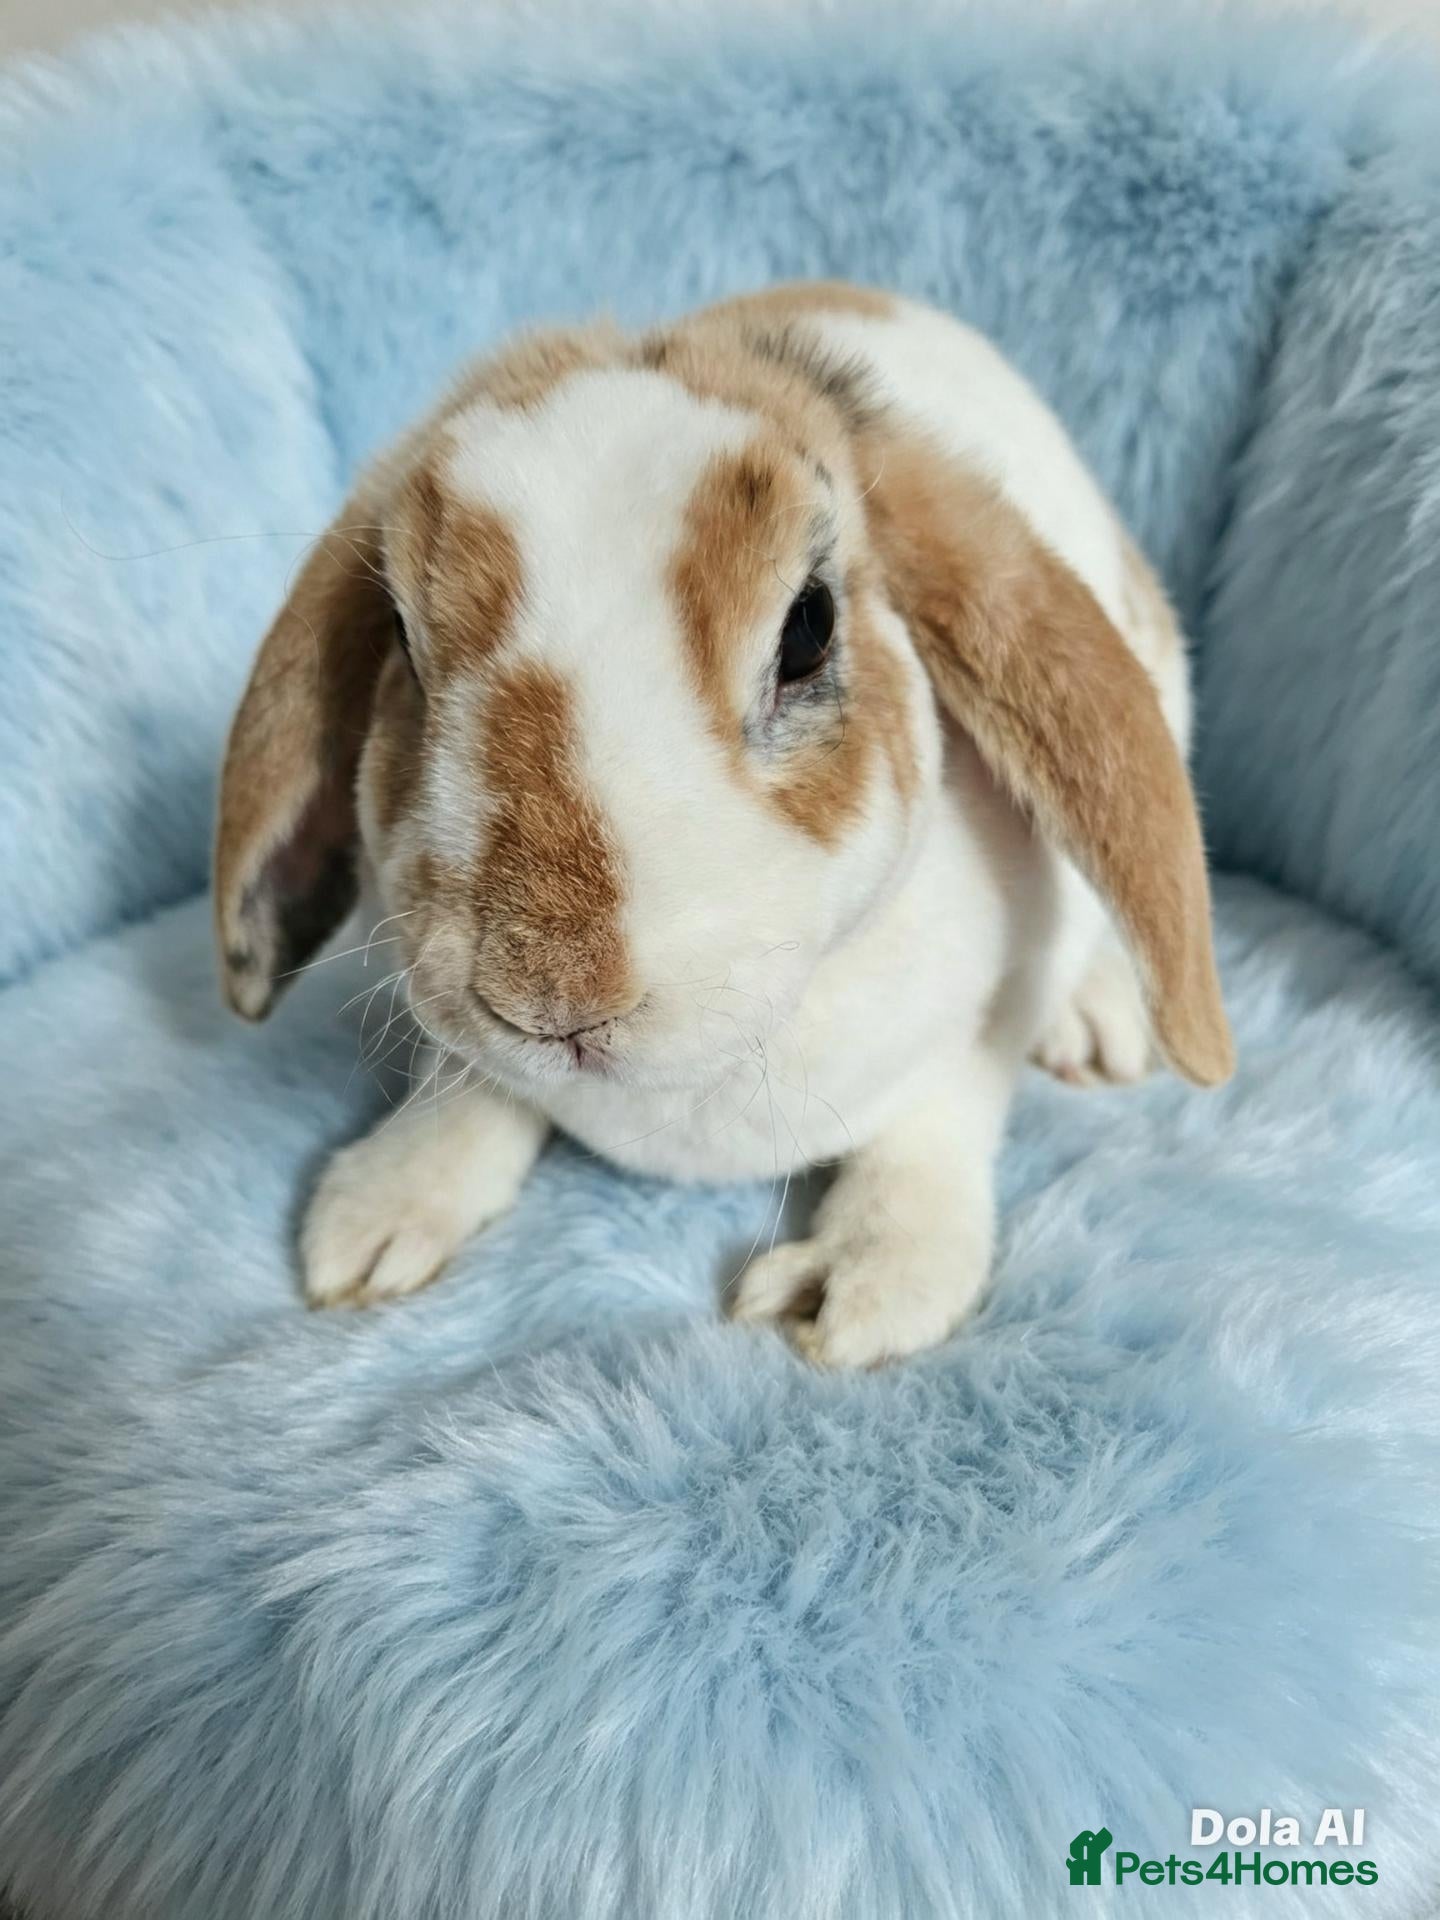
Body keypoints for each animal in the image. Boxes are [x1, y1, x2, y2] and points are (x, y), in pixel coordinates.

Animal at [213, 281, 1233, 1368]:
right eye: (402, 638)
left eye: (809, 628)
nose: (552, 997)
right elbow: (473, 1088)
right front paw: (378, 1215)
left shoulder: (980, 1022)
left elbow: (931, 1126)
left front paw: (860, 1288)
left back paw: (1096, 1024)